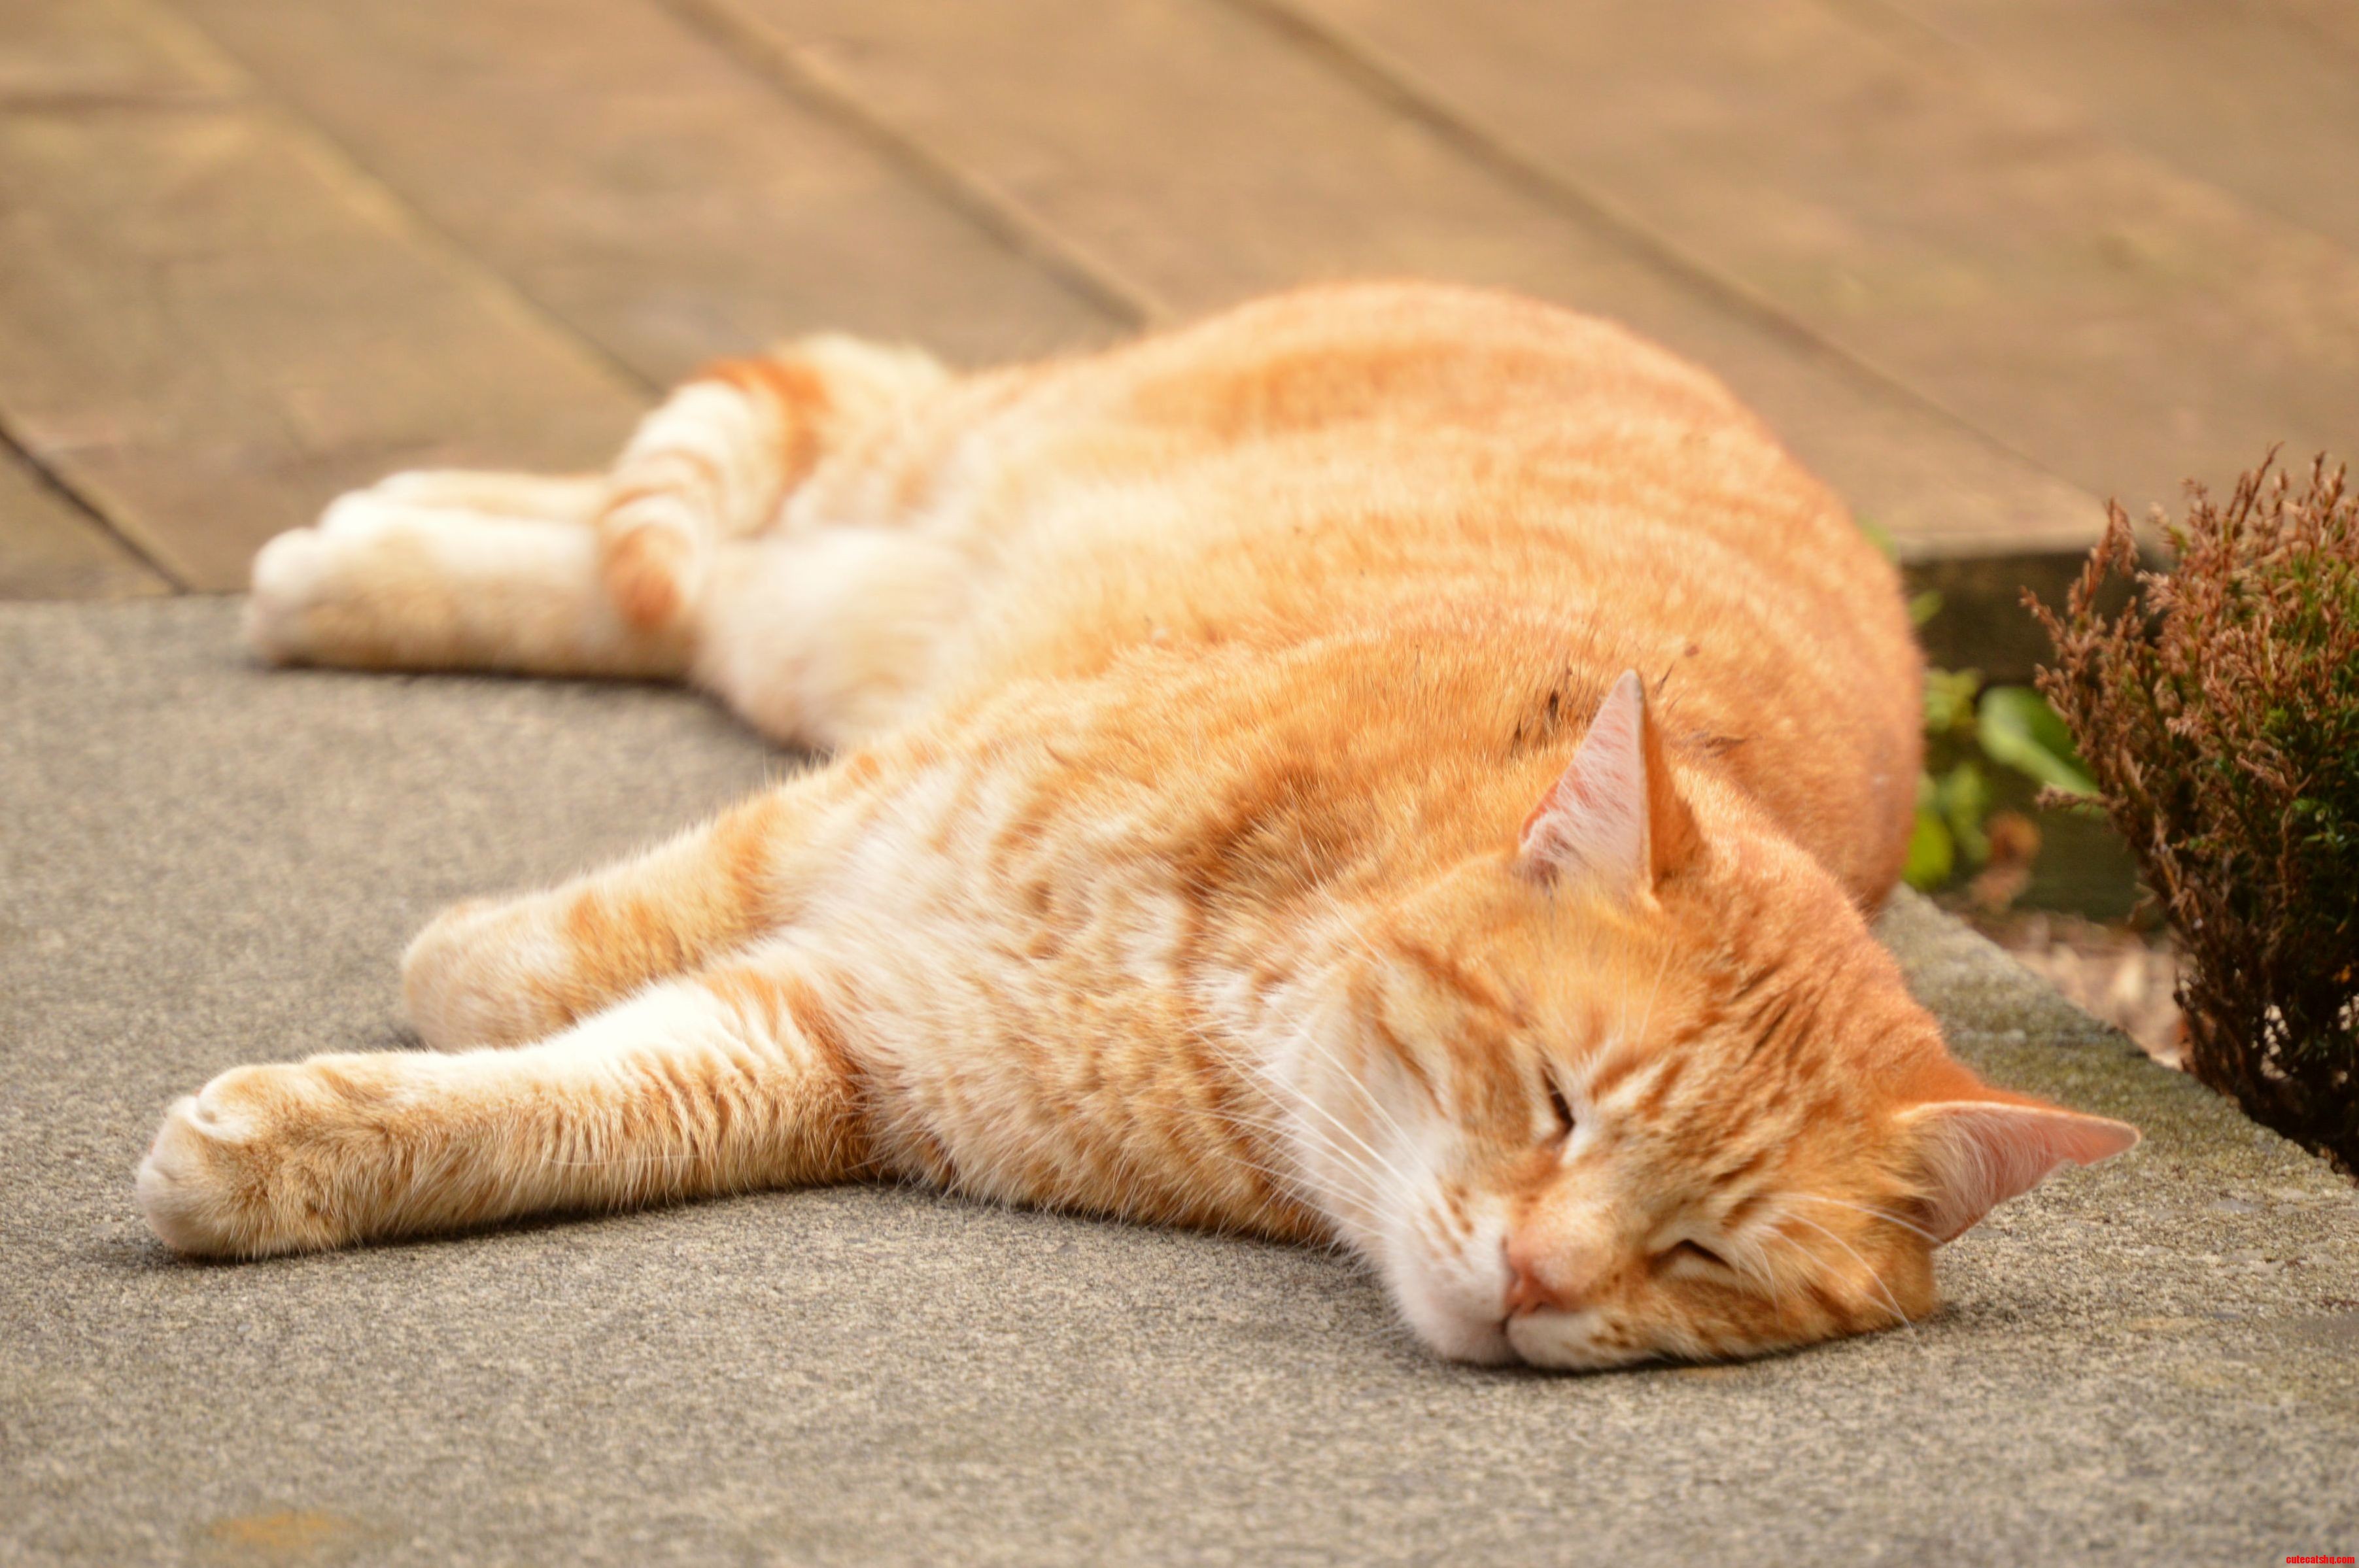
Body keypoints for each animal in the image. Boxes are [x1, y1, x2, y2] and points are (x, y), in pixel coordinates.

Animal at [138, 284, 2151, 1367]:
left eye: (1705, 1259)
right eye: (1555, 1099)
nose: (1536, 1281)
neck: (1231, 1011)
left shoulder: (853, 1040)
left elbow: (566, 1099)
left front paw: (295, 1153)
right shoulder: (855, 825)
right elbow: (529, 964)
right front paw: (447, 978)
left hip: (819, 626)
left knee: (687, 582)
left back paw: (362, 546)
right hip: (914, 512)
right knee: (706, 518)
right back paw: (347, 552)